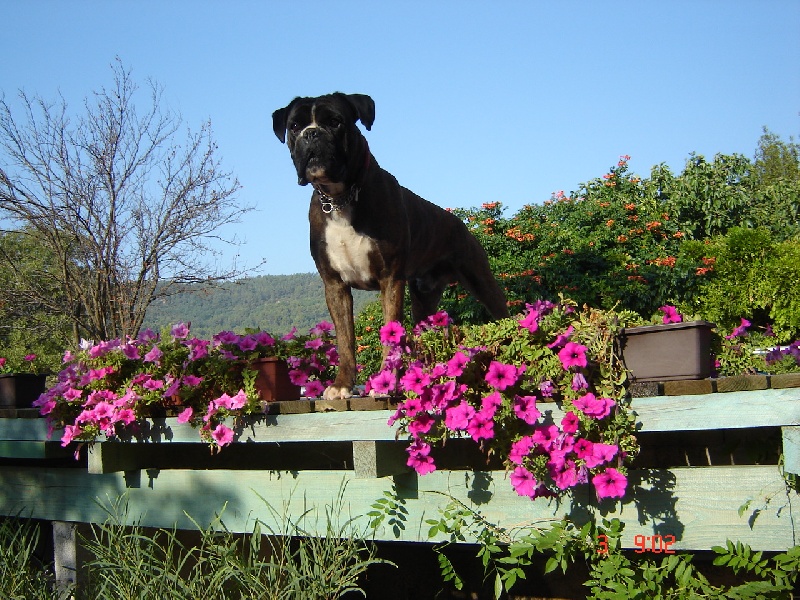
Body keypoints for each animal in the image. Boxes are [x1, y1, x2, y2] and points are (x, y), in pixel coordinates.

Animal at [272, 94, 510, 400]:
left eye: (335, 122)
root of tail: (458, 222)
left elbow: (390, 335)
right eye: (295, 126)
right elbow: (345, 340)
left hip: (481, 280)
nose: (311, 134)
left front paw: (385, 382)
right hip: (424, 300)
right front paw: (342, 384)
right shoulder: (335, 285)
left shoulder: (390, 279)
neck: (341, 198)